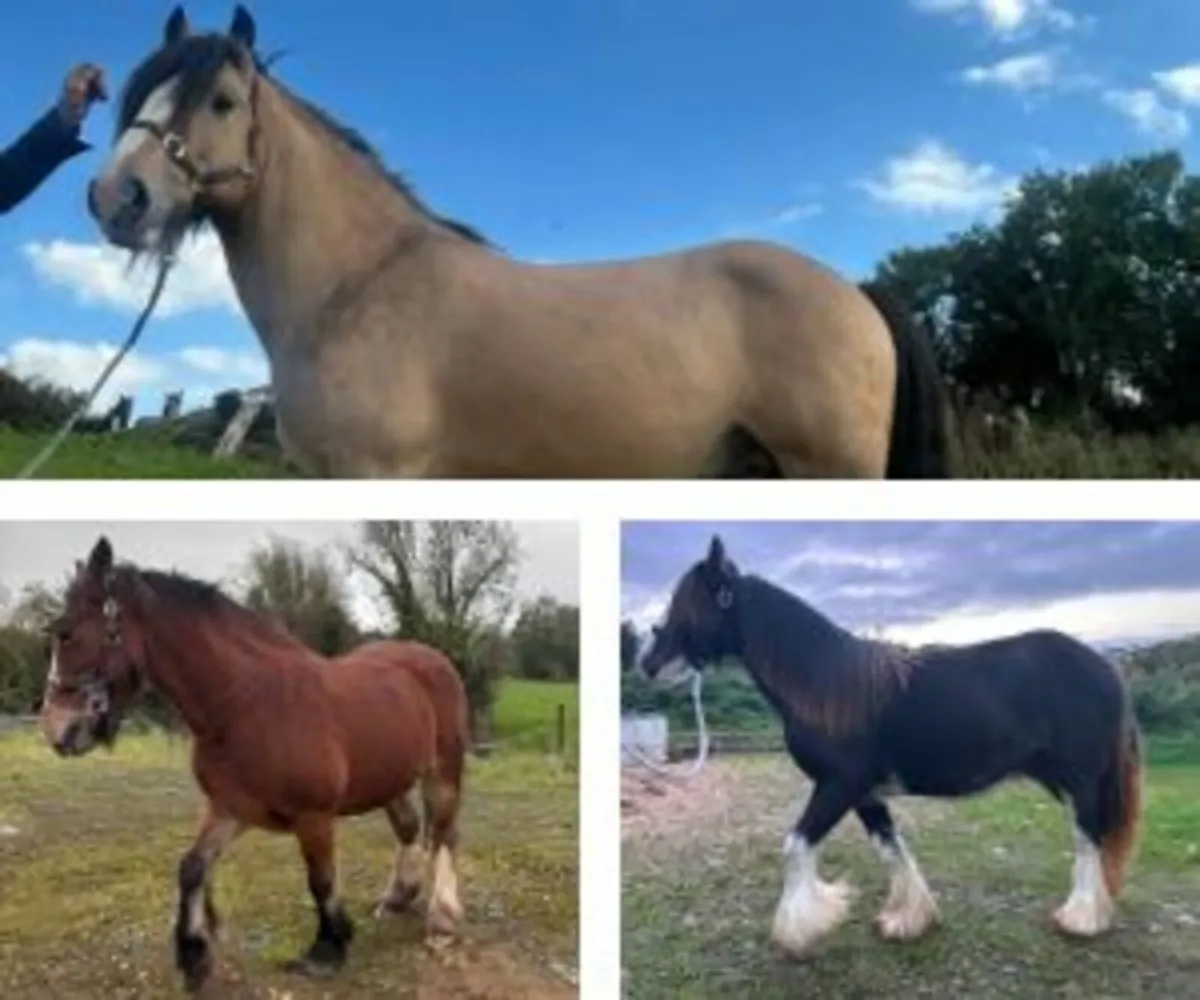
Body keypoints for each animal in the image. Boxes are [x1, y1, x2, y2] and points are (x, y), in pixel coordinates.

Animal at [37, 535, 470, 994]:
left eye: (66, 633)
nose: (55, 728)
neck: (241, 703)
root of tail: (432, 658)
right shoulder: (230, 809)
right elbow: (192, 868)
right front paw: (194, 956)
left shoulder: (313, 816)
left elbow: (320, 879)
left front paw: (327, 948)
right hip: (392, 779)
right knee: (409, 829)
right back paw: (398, 897)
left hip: (443, 771)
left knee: (443, 833)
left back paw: (442, 920)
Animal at [85, 5, 949, 480]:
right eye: (141, 92)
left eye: (223, 101)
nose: (116, 198)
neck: (356, 285)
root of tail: (853, 291)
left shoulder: (378, 470)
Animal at [637, 534, 1143, 958]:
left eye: (692, 603)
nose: (648, 664)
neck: (828, 687)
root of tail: (1105, 665)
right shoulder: (865, 793)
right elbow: (891, 848)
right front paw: (908, 919)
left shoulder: (838, 785)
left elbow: (796, 846)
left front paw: (799, 931)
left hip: (1080, 781)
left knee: (1088, 839)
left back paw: (1081, 918)